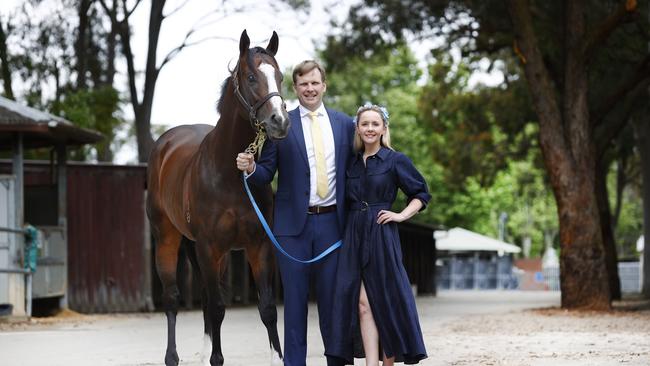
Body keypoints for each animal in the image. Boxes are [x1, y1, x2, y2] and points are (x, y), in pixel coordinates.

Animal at [148, 30, 290, 364]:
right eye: (251, 77)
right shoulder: (208, 248)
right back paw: (172, 357)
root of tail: (165, 144)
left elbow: (267, 310)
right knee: (173, 298)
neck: (228, 174)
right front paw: (216, 358)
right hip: (169, 240)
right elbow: (217, 308)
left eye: (279, 76)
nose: (279, 121)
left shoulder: (258, 246)